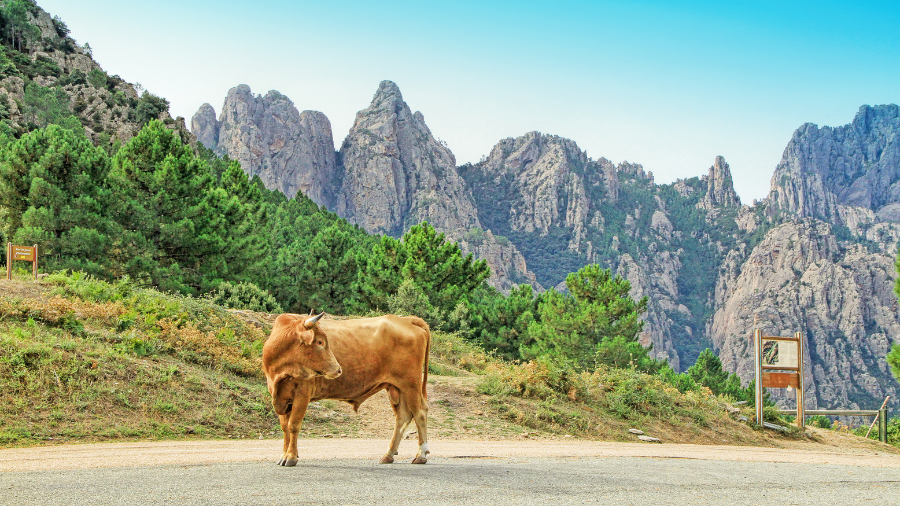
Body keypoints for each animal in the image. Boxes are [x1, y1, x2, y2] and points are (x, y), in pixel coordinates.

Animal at [262, 312, 430, 466]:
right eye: (320, 341)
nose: (338, 369)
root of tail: (406, 319)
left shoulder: (302, 393)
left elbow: (293, 425)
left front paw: (290, 457)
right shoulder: (282, 397)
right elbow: (285, 428)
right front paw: (285, 455)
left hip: (411, 385)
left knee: (419, 413)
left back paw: (421, 455)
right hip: (395, 388)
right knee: (402, 417)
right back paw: (388, 454)